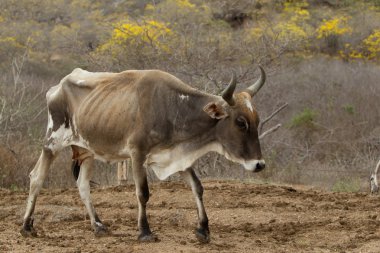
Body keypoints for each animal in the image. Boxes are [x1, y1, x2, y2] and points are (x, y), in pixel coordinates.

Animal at [19, 66, 266, 243]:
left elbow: (197, 187)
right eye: (240, 122)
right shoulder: (137, 154)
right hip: (52, 143)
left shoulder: (178, 156)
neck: (171, 106)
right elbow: (143, 193)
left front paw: (203, 229)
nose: (259, 164)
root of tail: (58, 86)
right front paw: (145, 231)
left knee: (82, 185)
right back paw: (26, 226)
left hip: (87, 151)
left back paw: (98, 225)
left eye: (256, 120)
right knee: (36, 178)